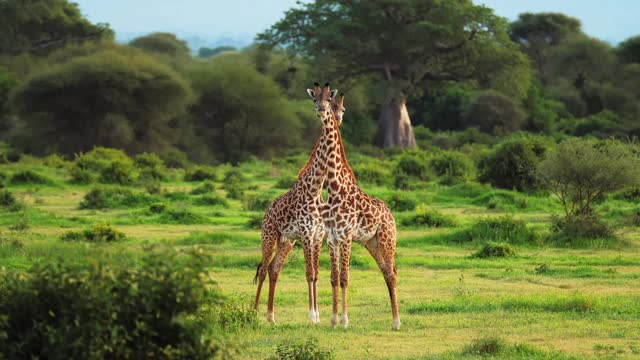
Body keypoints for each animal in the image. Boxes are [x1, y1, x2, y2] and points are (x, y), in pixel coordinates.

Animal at [252, 83, 340, 324]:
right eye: (314, 100)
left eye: (330, 100)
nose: (322, 111)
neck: (315, 189)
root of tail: (266, 211)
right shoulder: (307, 234)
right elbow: (309, 274)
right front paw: (312, 316)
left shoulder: (317, 236)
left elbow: (316, 274)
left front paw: (317, 316)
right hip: (270, 235)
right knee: (263, 268)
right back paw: (253, 312)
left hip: (287, 241)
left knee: (274, 268)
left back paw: (271, 316)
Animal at [324, 94, 400, 330]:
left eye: (342, 108)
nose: (335, 117)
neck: (336, 189)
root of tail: (391, 216)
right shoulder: (331, 239)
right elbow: (334, 277)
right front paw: (332, 320)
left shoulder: (346, 237)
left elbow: (345, 277)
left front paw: (344, 321)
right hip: (372, 243)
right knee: (387, 272)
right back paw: (394, 321)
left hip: (386, 240)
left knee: (392, 273)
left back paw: (396, 322)